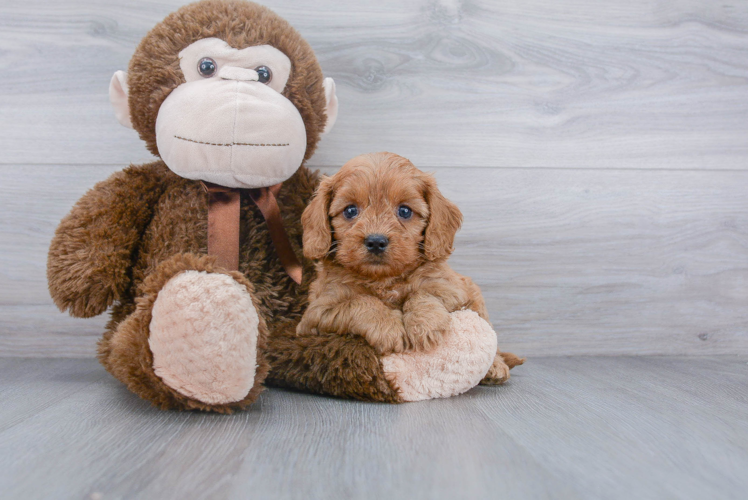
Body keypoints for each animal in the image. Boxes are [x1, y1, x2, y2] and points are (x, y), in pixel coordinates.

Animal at [298, 152, 520, 382]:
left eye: (404, 211)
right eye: (350, 210)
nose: (376, 241)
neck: (383, 279)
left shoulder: (452, 290)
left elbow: (422, 293)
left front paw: (425, 324)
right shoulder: (315, 315)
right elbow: (360, 302)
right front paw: (387, 327)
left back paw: (496, 366)